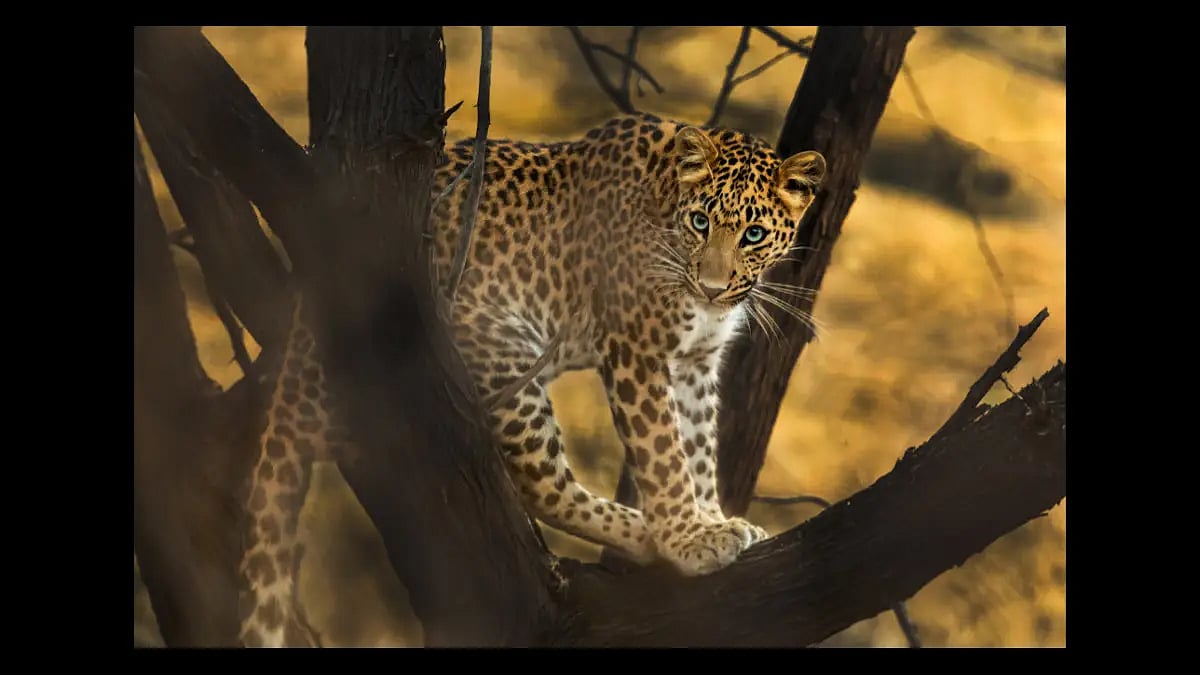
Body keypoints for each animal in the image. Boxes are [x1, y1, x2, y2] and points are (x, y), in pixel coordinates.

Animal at [237, 112, 825, 646]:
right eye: (701, 222)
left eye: (753, 234)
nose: (711, 286)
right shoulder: (635, 348)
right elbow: (664, 456)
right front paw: (686, 540)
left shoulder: (694, 362)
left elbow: (699, 450)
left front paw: (712, 520)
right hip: (507, 351)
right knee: (542, 486)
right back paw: (643, 535)